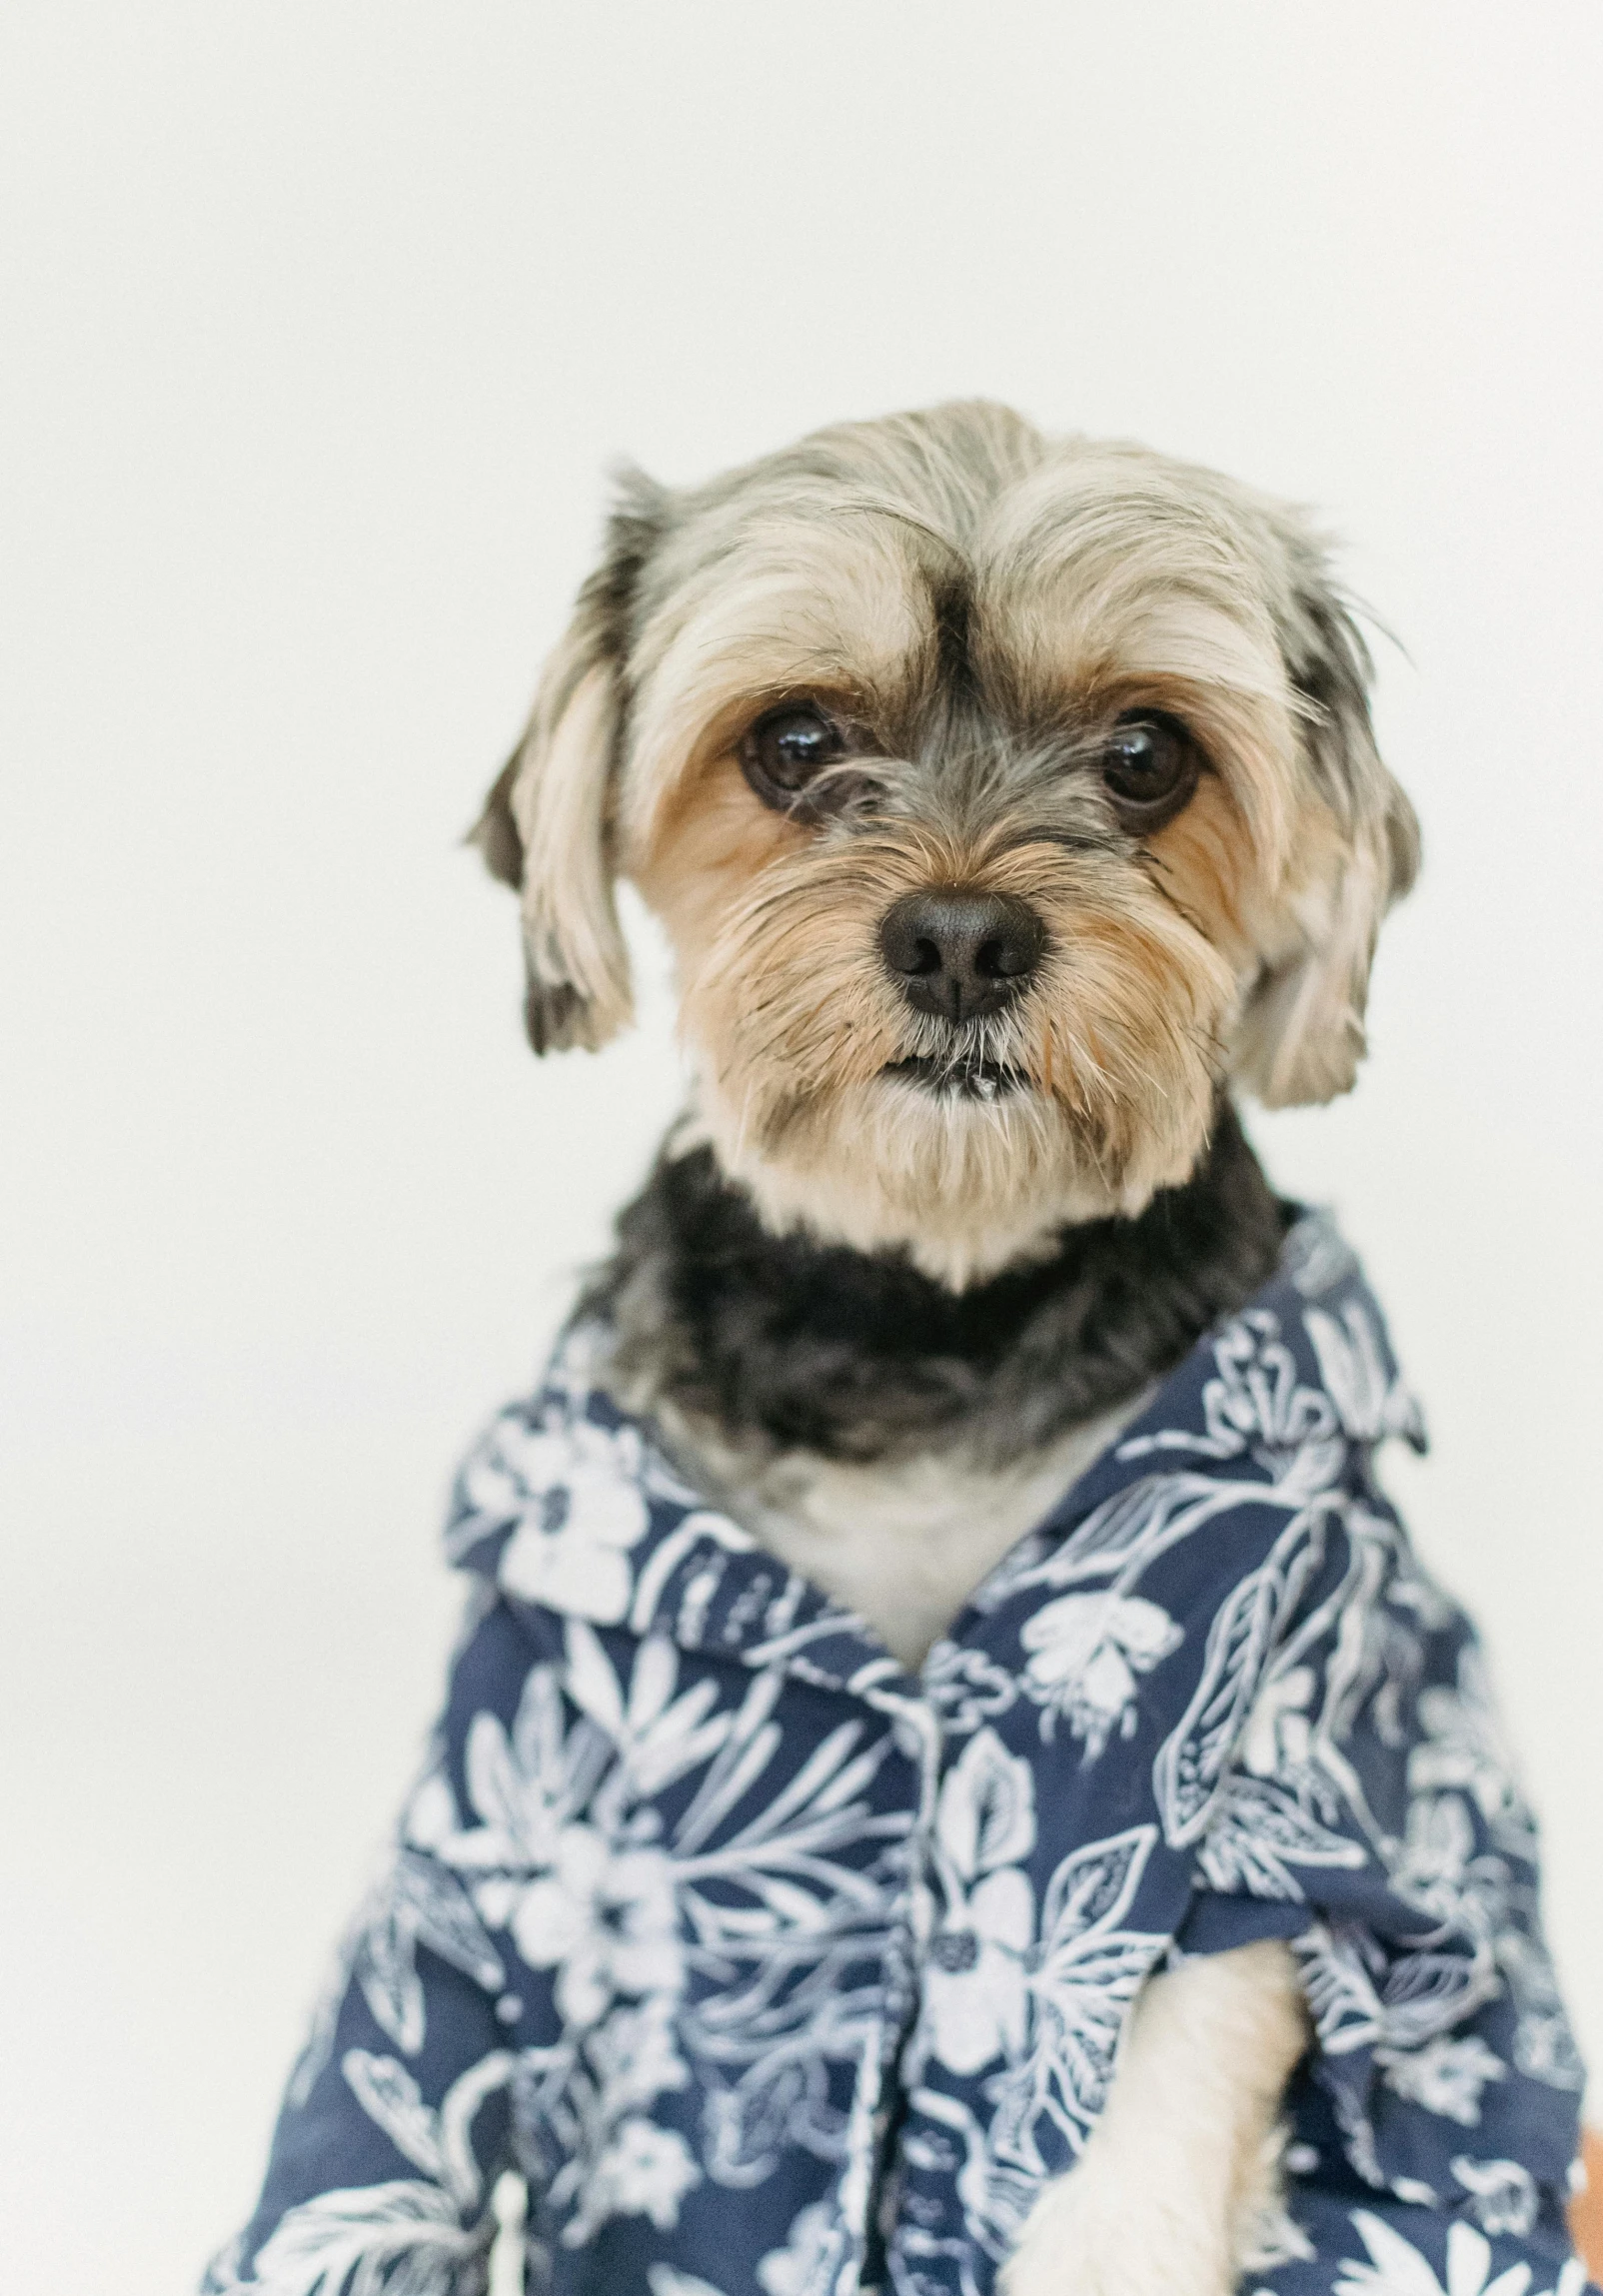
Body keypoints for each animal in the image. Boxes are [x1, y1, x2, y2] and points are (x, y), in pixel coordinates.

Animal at [203, 404, 1589, 2296]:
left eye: (1148, 756)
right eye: (790, 743)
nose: (958, 935)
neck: (932, 1319)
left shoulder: (1253, 1785)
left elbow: (1144, 2077)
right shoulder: (511, 1797)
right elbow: (388, 2080)